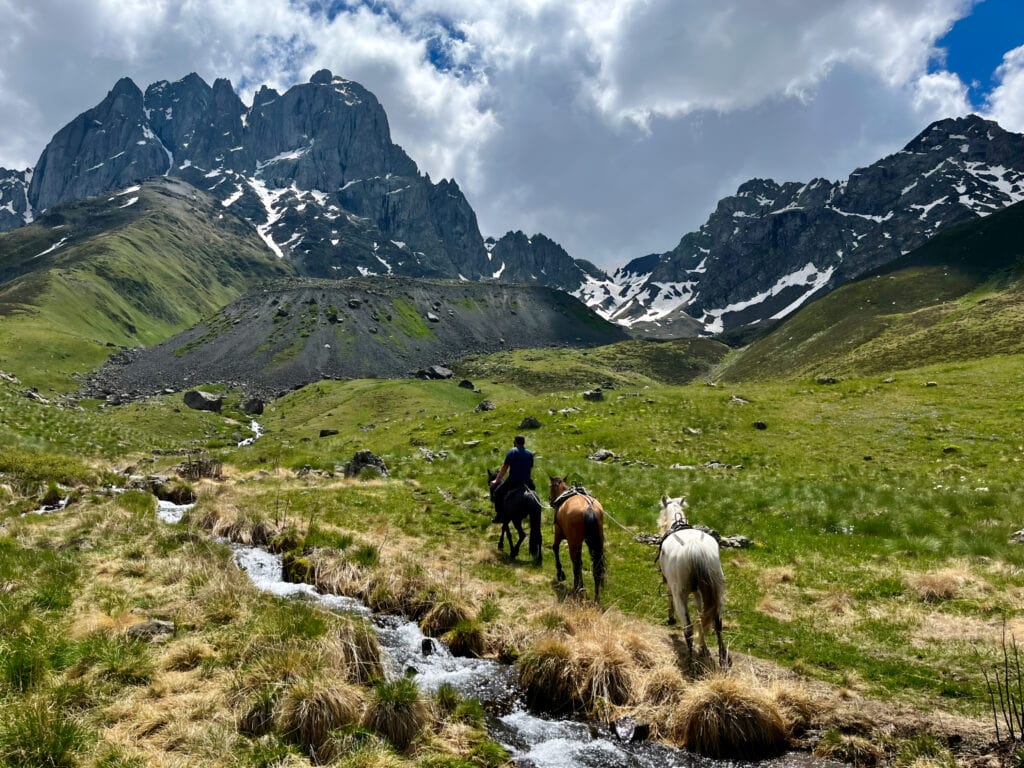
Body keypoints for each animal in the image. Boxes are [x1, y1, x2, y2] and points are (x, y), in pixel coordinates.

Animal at [548, 475, 602, 606]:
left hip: (573, 542)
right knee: (596, 567)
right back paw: (595, 597)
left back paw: (577, 588)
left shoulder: (558, 532)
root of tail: (589, 508)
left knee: (575, 563)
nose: (550, 500)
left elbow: (555, 548)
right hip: (595, 542)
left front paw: (560, 574)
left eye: (550, 486)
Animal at [659, 499, 724, 667]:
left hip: (680, 594)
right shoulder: (698, 592)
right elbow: (701, 617)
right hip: (717, 590)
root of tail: (695, 547)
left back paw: (691, 662)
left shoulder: (672, 585)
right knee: (717, 622)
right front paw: (703, 647)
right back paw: (723, 658)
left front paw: (670, 618)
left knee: (688, 628)